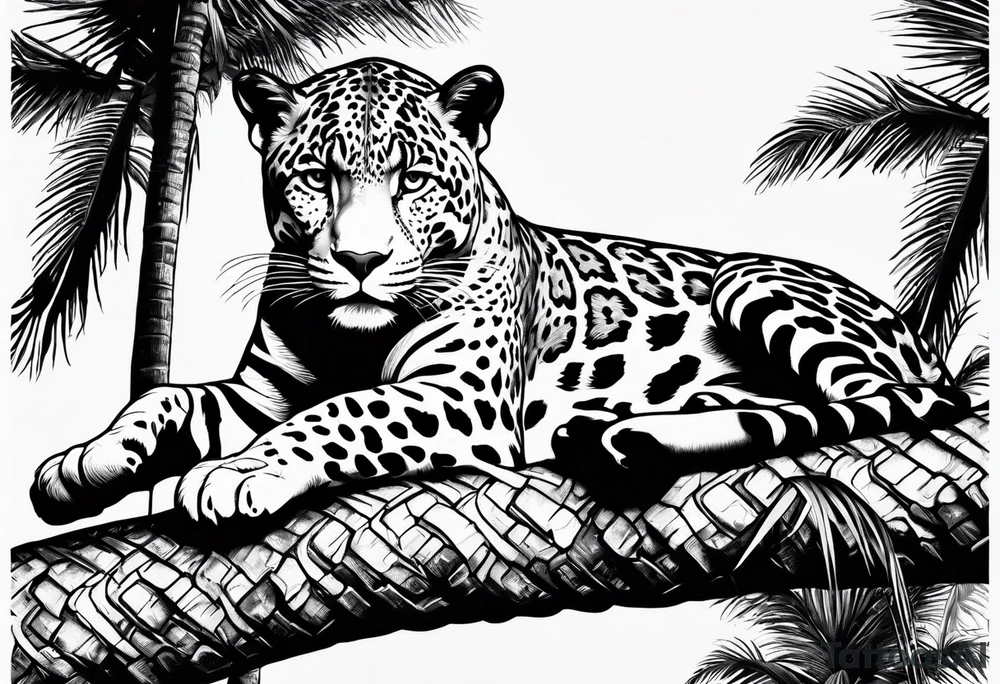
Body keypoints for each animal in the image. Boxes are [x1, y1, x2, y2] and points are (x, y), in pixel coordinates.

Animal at [31, 58, 975, 527]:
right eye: (317, 177)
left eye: (410, 179)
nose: (362, 258)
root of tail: (920, 337)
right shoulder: (261, 390)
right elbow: (168, 401)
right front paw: (83, 463)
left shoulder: (462, 396)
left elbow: (338, 415)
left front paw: (239, 474)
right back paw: (623, 434)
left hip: (758, 281)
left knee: (875, 404)